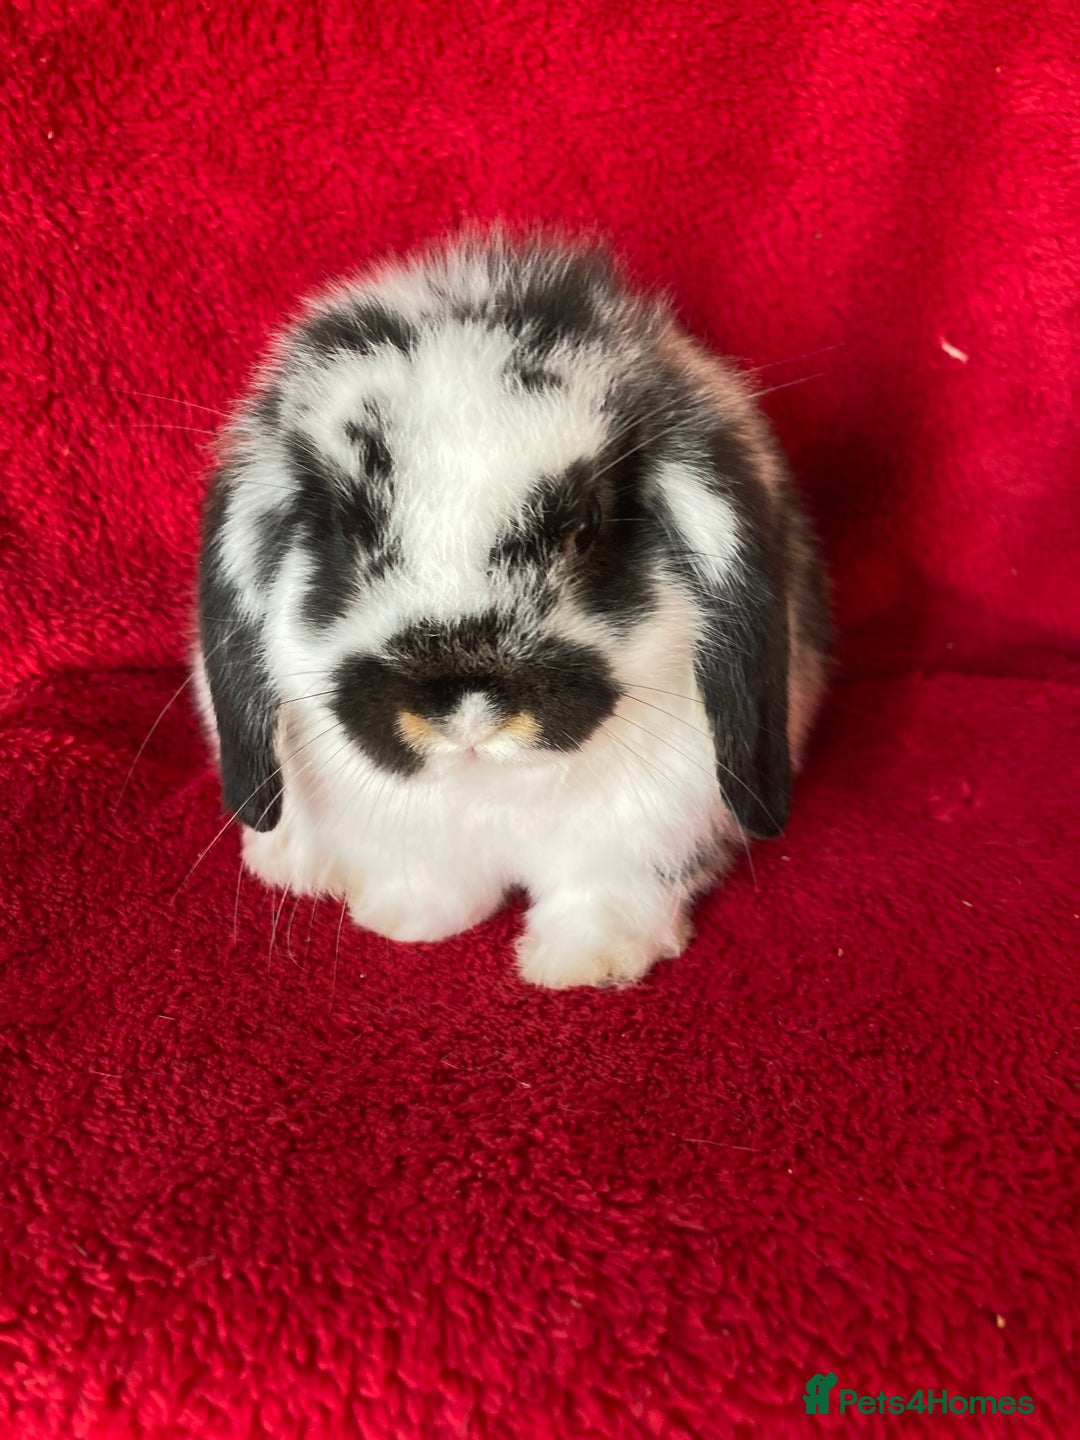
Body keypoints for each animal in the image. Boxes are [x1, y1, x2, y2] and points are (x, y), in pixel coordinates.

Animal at [194, 229, 831, 989]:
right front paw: (404, 919)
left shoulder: (648, 830)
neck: (491, 790)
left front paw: (585, 963)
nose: (465, 711)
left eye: (585, 527)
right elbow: (429, 877)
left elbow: (608, 891)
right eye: (350, 529)